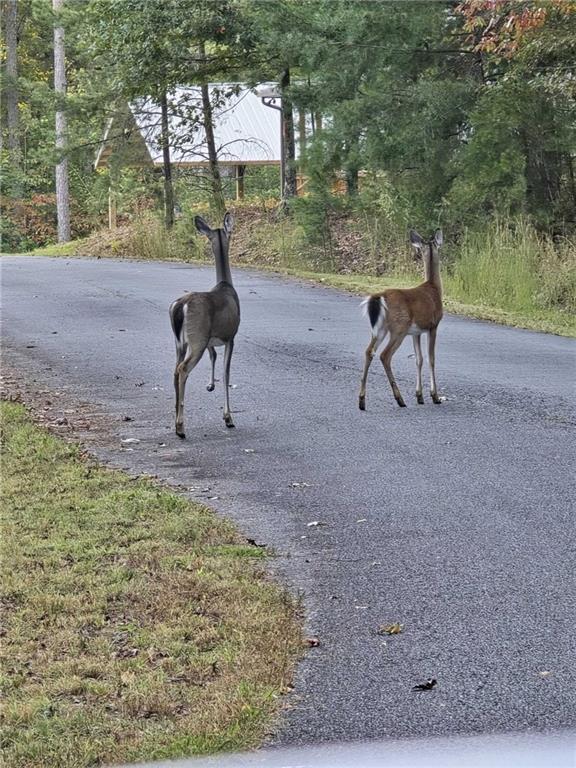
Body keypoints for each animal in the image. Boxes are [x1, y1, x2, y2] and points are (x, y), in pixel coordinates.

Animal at [168, 212, 240, 438]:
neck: (226, 286)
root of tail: (180, 306)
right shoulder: (230, 336)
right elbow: (226, 374)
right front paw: (228, 418)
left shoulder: (210, 340)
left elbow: (214, 356)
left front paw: (209, 385)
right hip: (197, 338)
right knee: (182, 369)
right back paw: (181, 427)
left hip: (181, 342)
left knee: (175, 370)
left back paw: (175, 420)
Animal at [358, 228, 444, 412]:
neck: (434, 288)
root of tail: (381, 296)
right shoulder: (433, 325)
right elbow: (431, 359)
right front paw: (434, 396)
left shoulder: (416, 332)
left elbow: (419, 360)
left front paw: (419, 396)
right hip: (399, 328)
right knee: (384, 355)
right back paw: (400, 399)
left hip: (380, 329)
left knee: (369, 351)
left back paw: (361, 400)